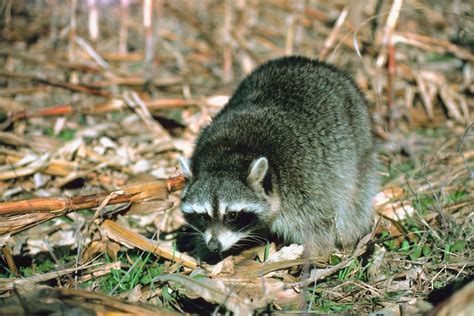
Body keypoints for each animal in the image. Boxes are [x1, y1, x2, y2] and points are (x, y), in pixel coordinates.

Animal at [178, 56, 378, 260]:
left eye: (232, 215)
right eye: (204, 216)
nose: (214, 245)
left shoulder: (303, 185)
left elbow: (318, 224)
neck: (228, 155)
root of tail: (312, 62)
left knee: (355, 197)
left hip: (358, 145)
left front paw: (315, 254)